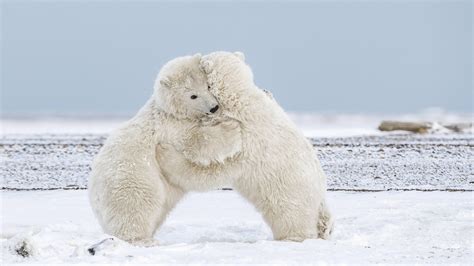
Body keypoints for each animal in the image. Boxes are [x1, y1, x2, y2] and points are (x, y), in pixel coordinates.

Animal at [89, 53, 243, 246]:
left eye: (208, 86)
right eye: (193, 95)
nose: (213, 108)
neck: (169, 110)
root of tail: (94, 198)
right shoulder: (172, 128)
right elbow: (198, 142)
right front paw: (232, 129)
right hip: (132, 179)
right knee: (135, 205)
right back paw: (143, 240)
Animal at [161, 50, 336, 241]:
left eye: (204, 60)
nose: (199, 57)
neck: (240, 97)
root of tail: (321, 200)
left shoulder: (242, 134)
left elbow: (213, 160)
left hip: (292, 200)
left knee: (294, 220)